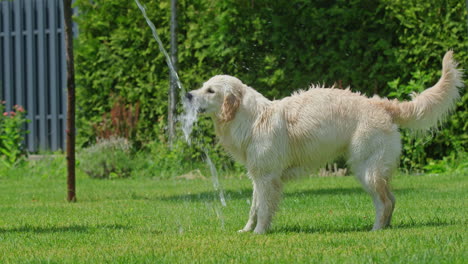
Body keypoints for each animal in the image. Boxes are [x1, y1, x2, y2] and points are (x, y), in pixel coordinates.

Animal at [185, 51, 462, 233]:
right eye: (202, 86)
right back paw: (385, 228)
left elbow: (263, 210)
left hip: (365, 169)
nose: (187, 94)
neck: (252, 117)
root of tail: (381, 103)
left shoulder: (267, 179)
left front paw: (259, 233)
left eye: (210, 90)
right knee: (391, 200)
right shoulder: (258, 176)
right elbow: (254, 208)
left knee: (384, 202)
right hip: (373, 170)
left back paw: (374, 230)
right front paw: (246, 231)